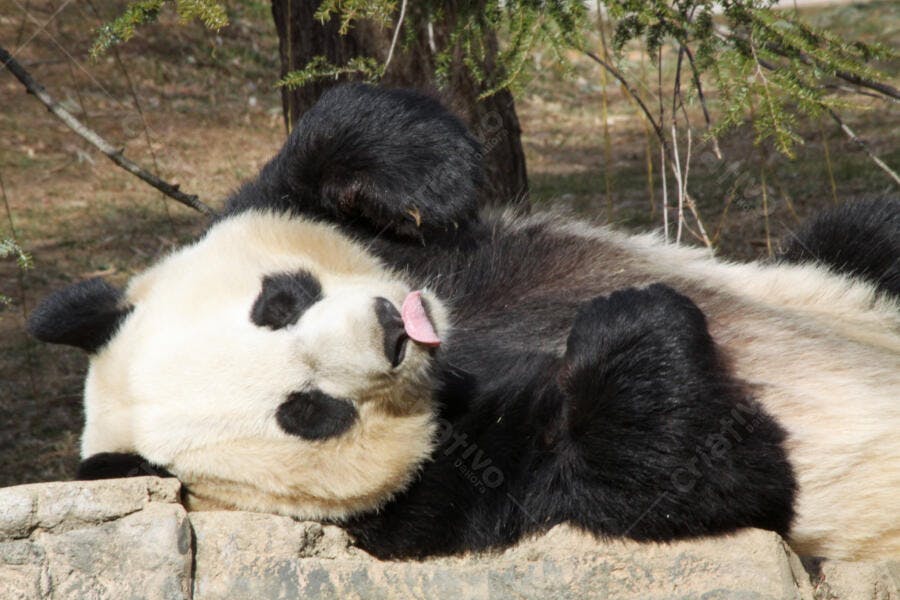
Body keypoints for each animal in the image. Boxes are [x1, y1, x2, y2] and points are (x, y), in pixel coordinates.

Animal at [28, 84, 899, 561]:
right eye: (306, 412)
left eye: (279, 302)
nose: (392, 328)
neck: (461, 347)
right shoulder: (433, 507)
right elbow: (682, 472)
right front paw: (623, 327)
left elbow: (330, 147)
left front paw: (430, 177)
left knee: (862, 234)